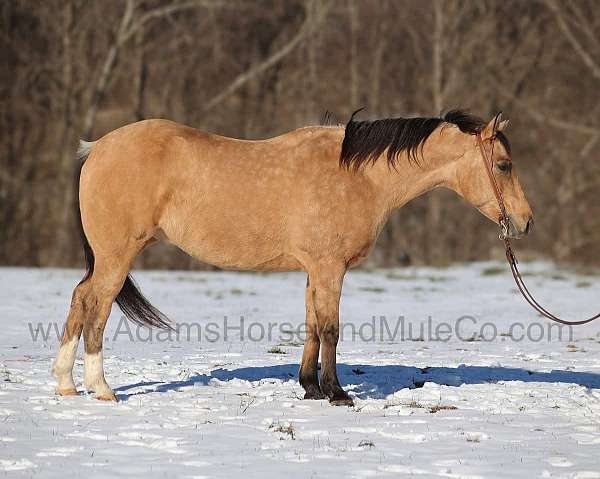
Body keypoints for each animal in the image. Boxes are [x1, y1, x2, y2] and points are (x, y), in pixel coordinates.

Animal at [50, 111, 528, 404]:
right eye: (503, 165)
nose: (525, 222)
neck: (358, 177)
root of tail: (97, 147)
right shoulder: (330, 268)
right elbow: (331, 328)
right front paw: (336, 393)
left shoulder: (315, 270)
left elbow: (313, 326)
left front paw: (310, 388)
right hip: (117, 256)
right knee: (96, 305)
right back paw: (101, 388)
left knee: (79, 299)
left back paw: (67, 385)